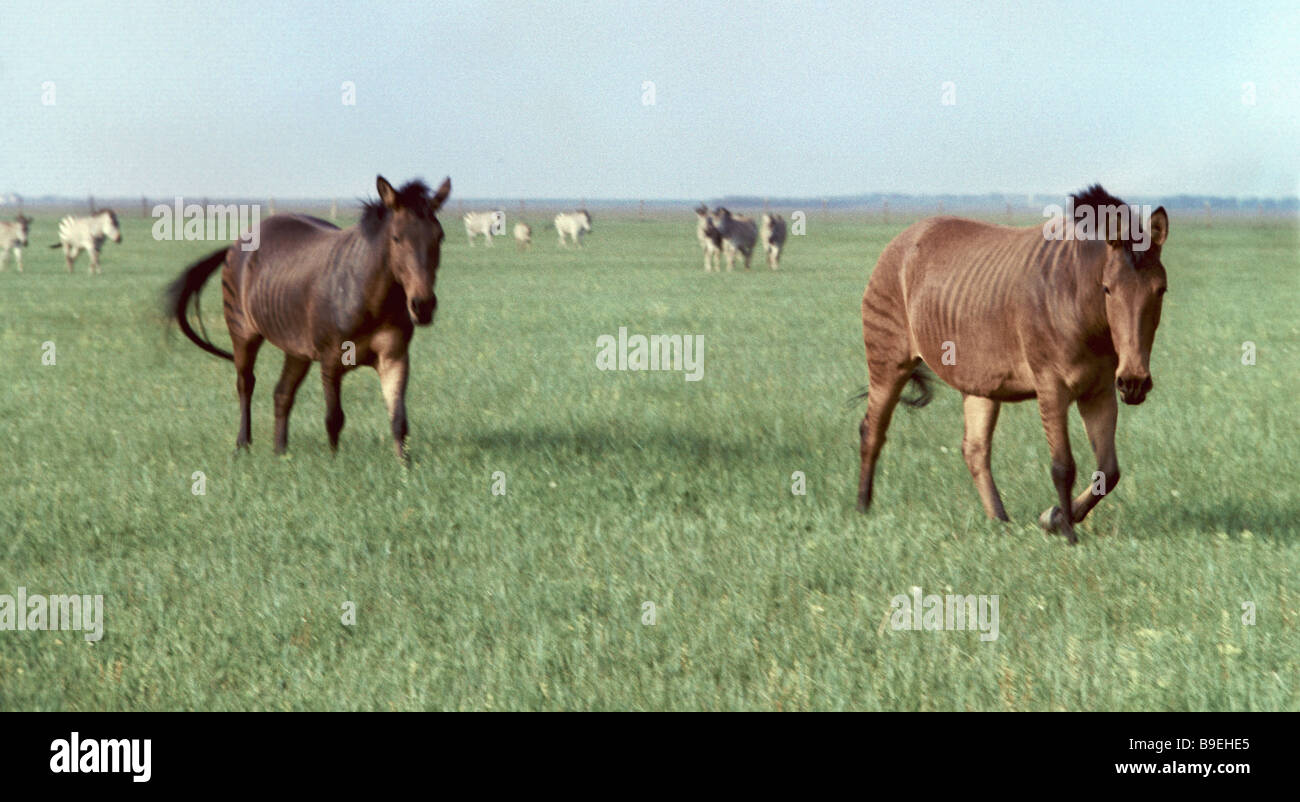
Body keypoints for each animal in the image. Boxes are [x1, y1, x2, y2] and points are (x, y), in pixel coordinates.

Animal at [164, 175, 452, 461]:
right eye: (396, 238)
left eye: (440, 237)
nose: (423, 306)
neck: (370, 297)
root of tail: (237, 243)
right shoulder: (331, 360)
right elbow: (334, 418)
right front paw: (334, 464)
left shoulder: (395, 358)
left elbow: (399, 421)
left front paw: (405, 467)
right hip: (243, 333)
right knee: (246, 385)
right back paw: (243, 446)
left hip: (296, 348)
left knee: (282, 393)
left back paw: (280, 453)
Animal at [854, 186, 1169, 545]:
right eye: (1107, 289)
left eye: (1161, 290)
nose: (1134, 382)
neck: (1074, 296)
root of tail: (903, 240)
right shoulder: (1052, 387)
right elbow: (1063, 466)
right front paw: (1067, 533)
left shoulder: (1099, 391)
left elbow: (1108, 471)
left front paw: (1055, 518)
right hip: (887, 362)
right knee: (872, 431)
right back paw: (862, 508)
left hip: (979, 385)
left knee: (975, 450)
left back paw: (999, 520)